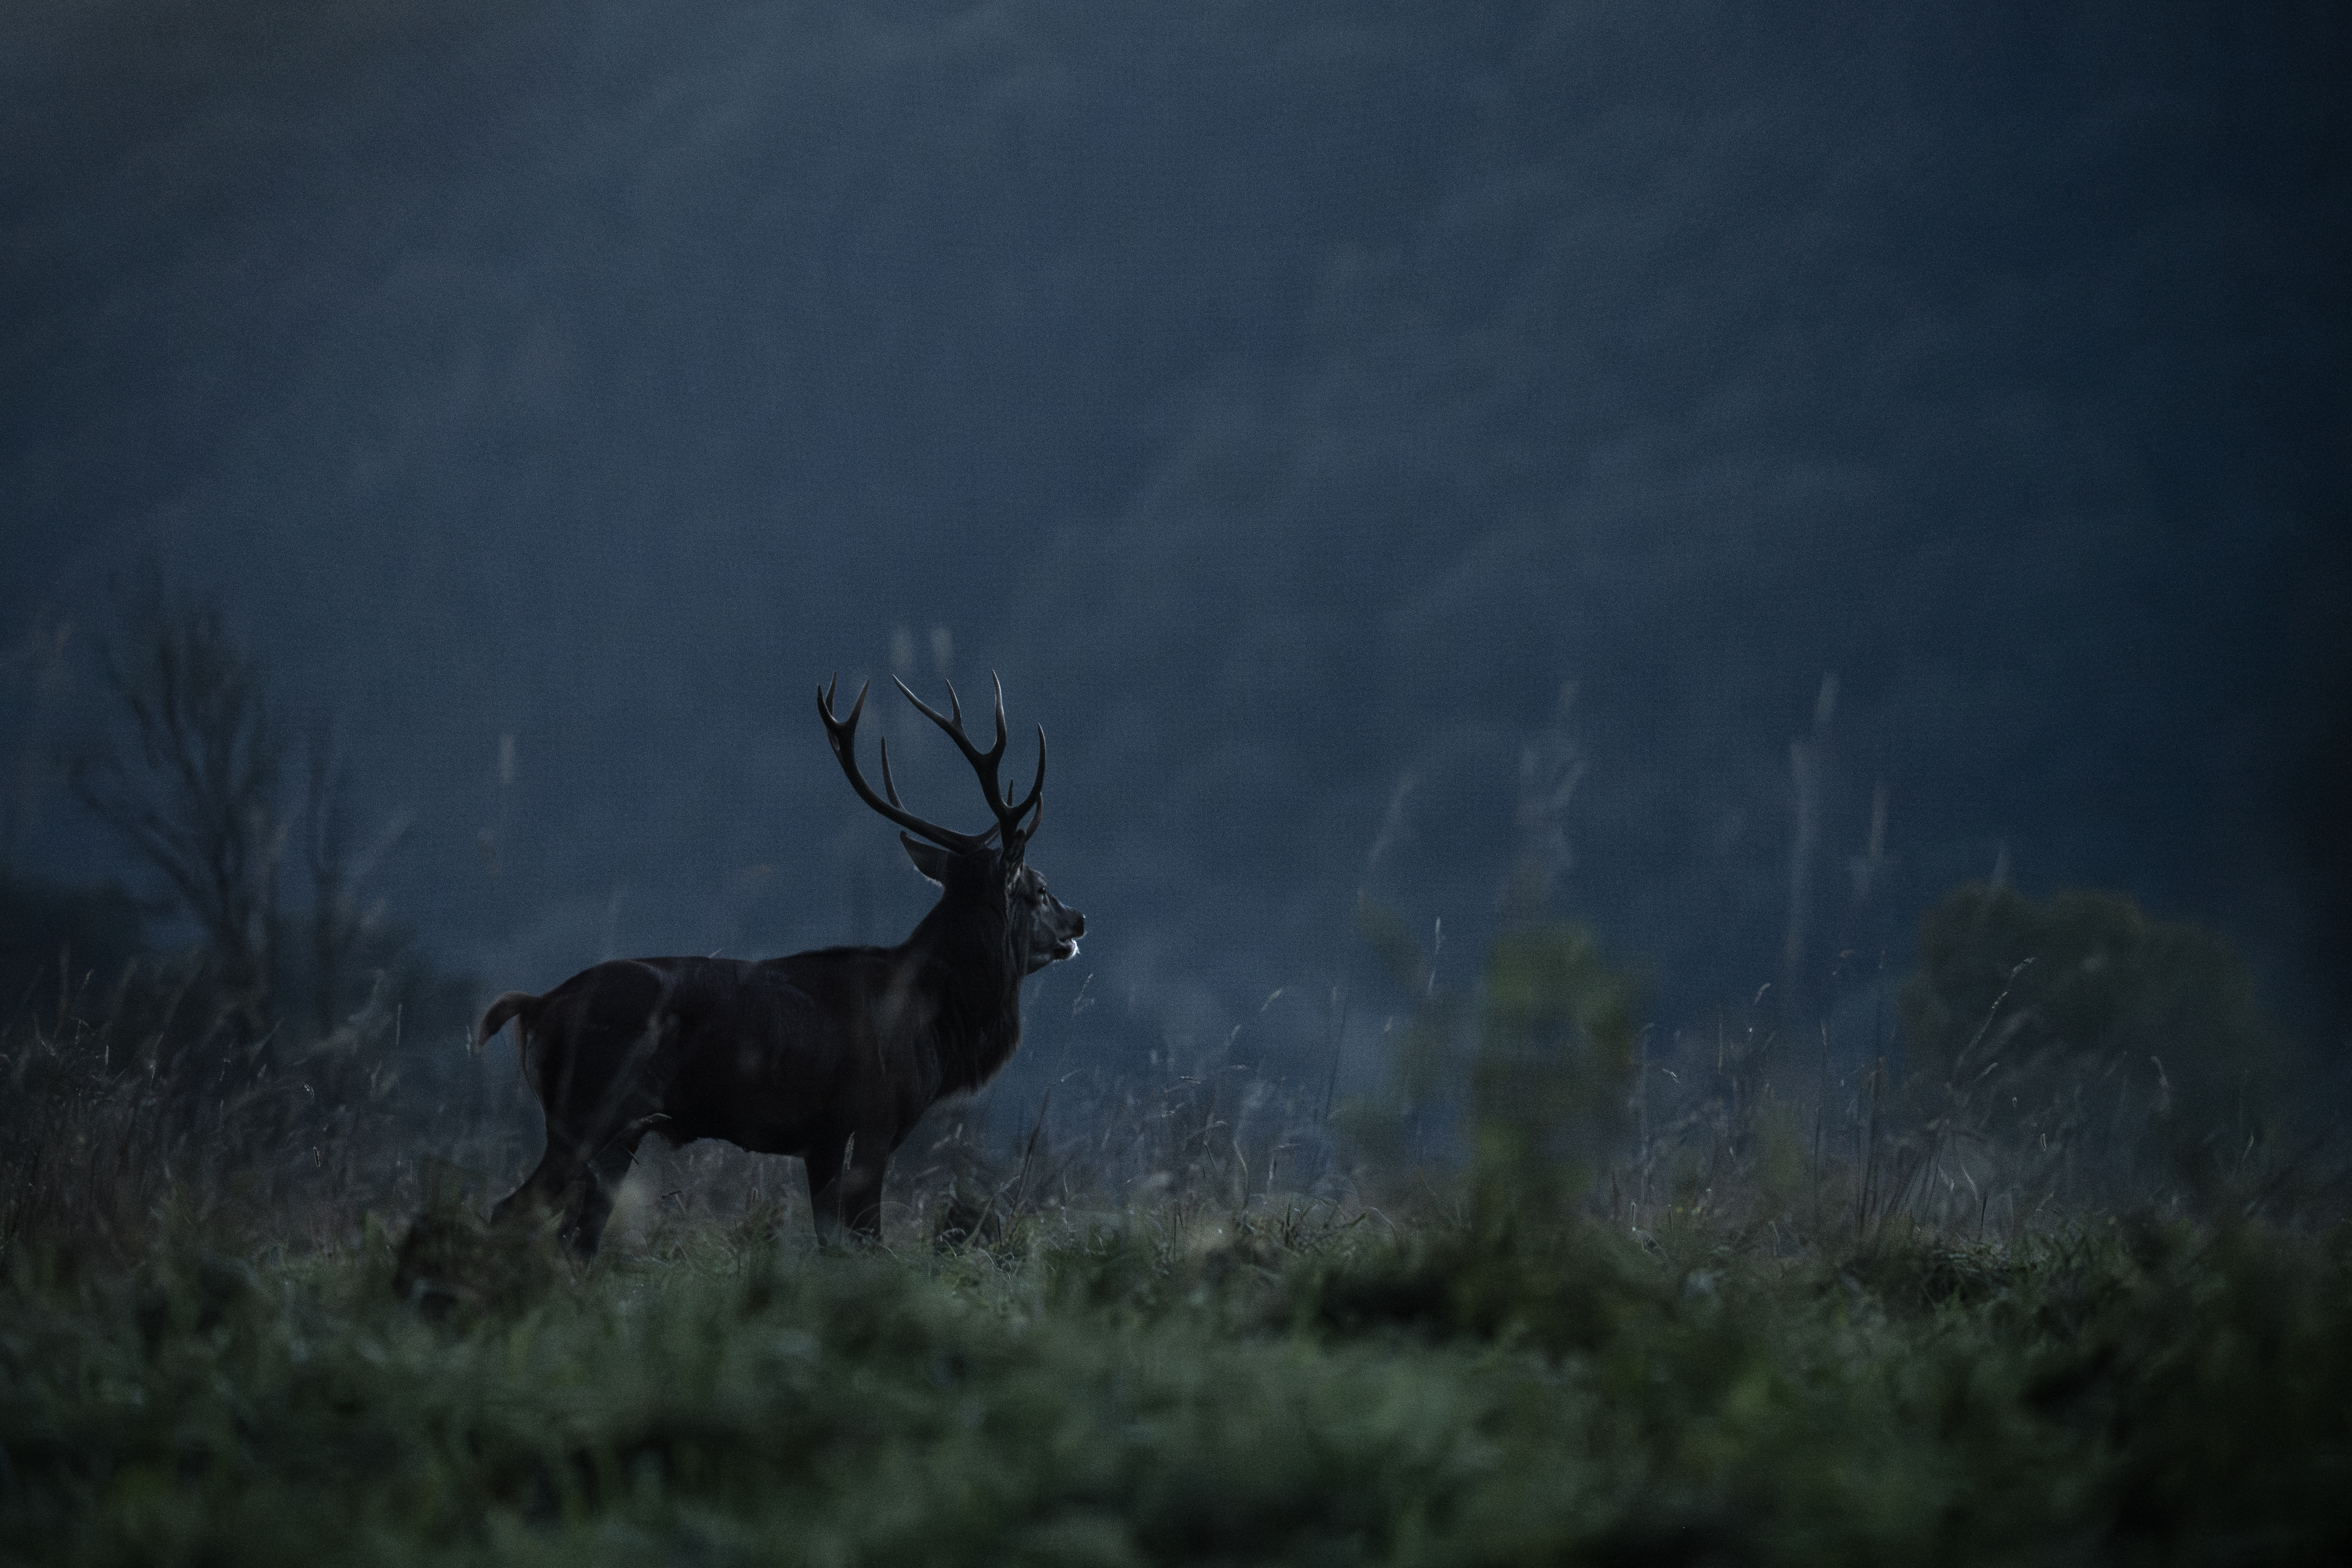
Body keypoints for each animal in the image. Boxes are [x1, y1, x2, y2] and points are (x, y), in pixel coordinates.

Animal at [473, 673, 1084, 1256]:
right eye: (1040, 888)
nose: (1078, 921)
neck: (932, 1017)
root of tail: (537, 1006)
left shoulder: (823, 1138)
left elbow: (831, 1242)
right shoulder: (876, 1116)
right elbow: (868, 1240)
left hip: (619, 1128)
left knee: (579, 1234)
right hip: (585, 1109)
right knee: (512, 1212)